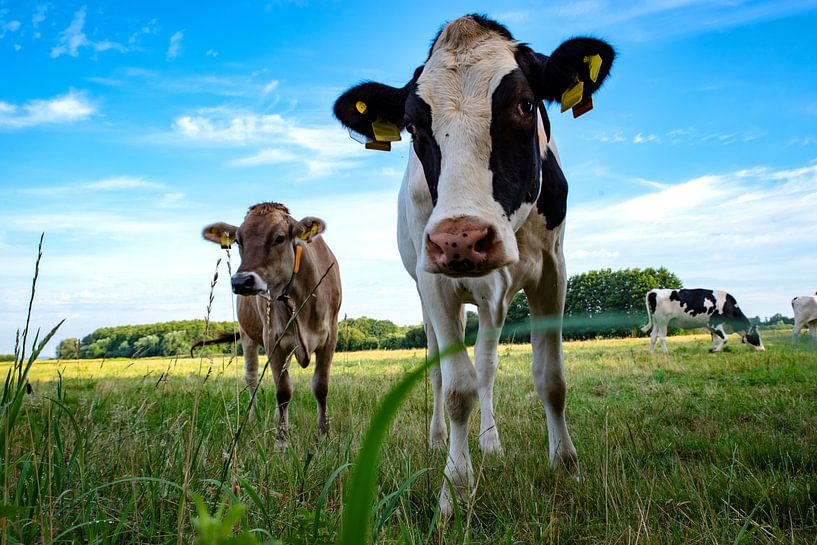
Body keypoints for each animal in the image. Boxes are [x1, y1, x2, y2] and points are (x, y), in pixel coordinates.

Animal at [199, 202, 342, 444]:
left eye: (279, 238)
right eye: (239, 241)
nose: (241, 281)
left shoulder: (330, 335)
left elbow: (320, 387)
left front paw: (323, 434)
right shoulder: (272, 339)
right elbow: (283, 392)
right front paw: (281, 440)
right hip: (247, 335)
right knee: (252, 377)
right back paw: (253, 417)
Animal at [332, 13, 612, 516]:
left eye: (525, 104)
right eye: (411, 125)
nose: (460, 238)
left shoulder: (553, 271)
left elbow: (550, 378)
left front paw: (565, 466)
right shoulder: (434, 282)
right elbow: (456, 386)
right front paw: (455, 489)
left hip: (493, 298)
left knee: (486, 365)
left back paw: (491, 443)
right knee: (440, 370)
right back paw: (437, 438)